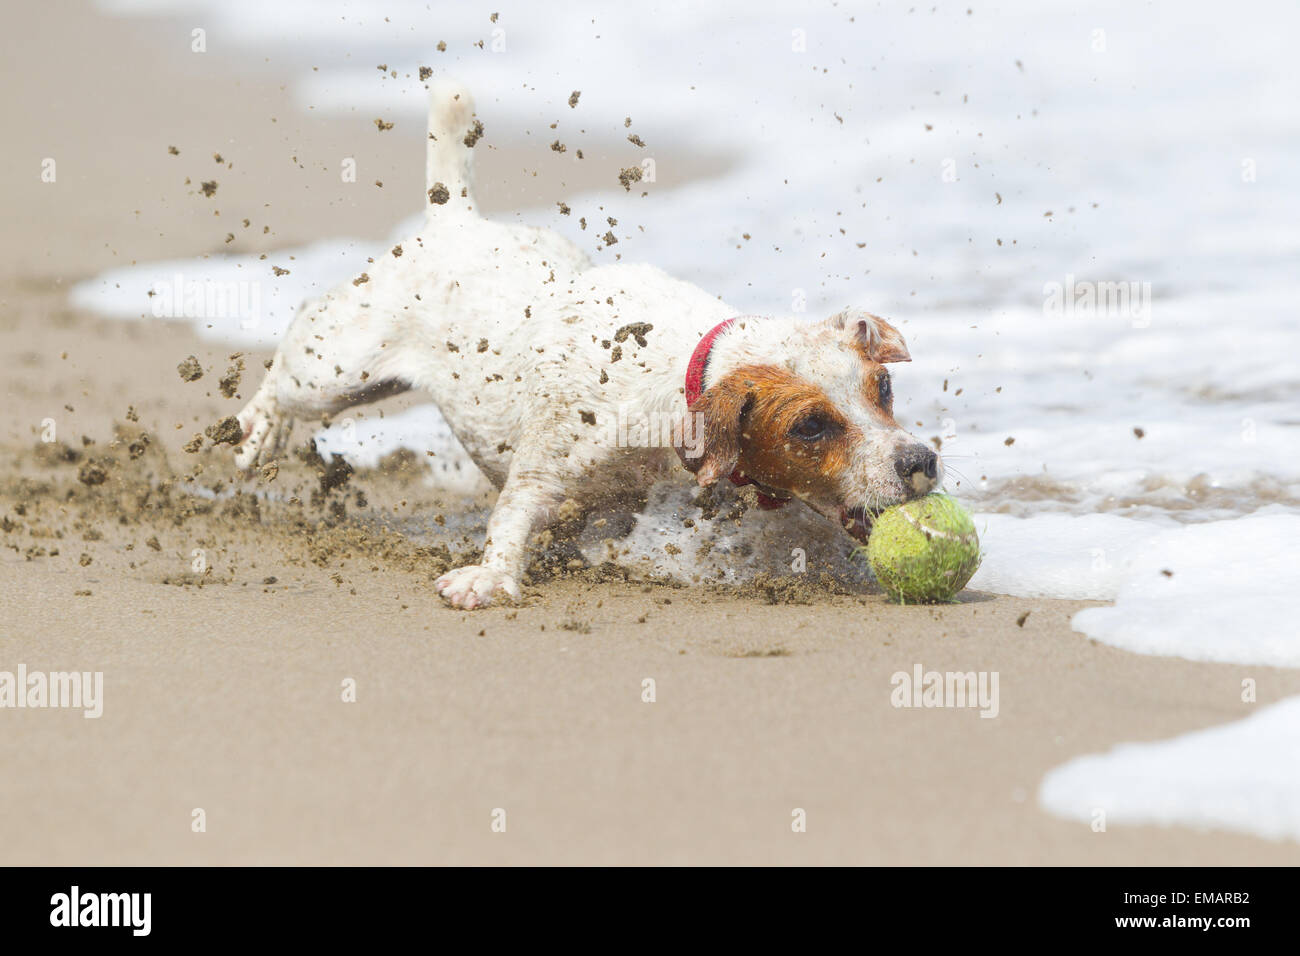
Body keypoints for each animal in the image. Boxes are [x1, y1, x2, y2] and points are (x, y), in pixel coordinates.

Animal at [236, 80, 946, 606]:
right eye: (810, 427)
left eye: (883, 388)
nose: (922, 460)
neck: (682, 380)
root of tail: (454, 217)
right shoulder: (547, 465)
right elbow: (515, 512)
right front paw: (491, 576)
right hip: (333, 368)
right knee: (287, 375)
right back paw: (258, 432)